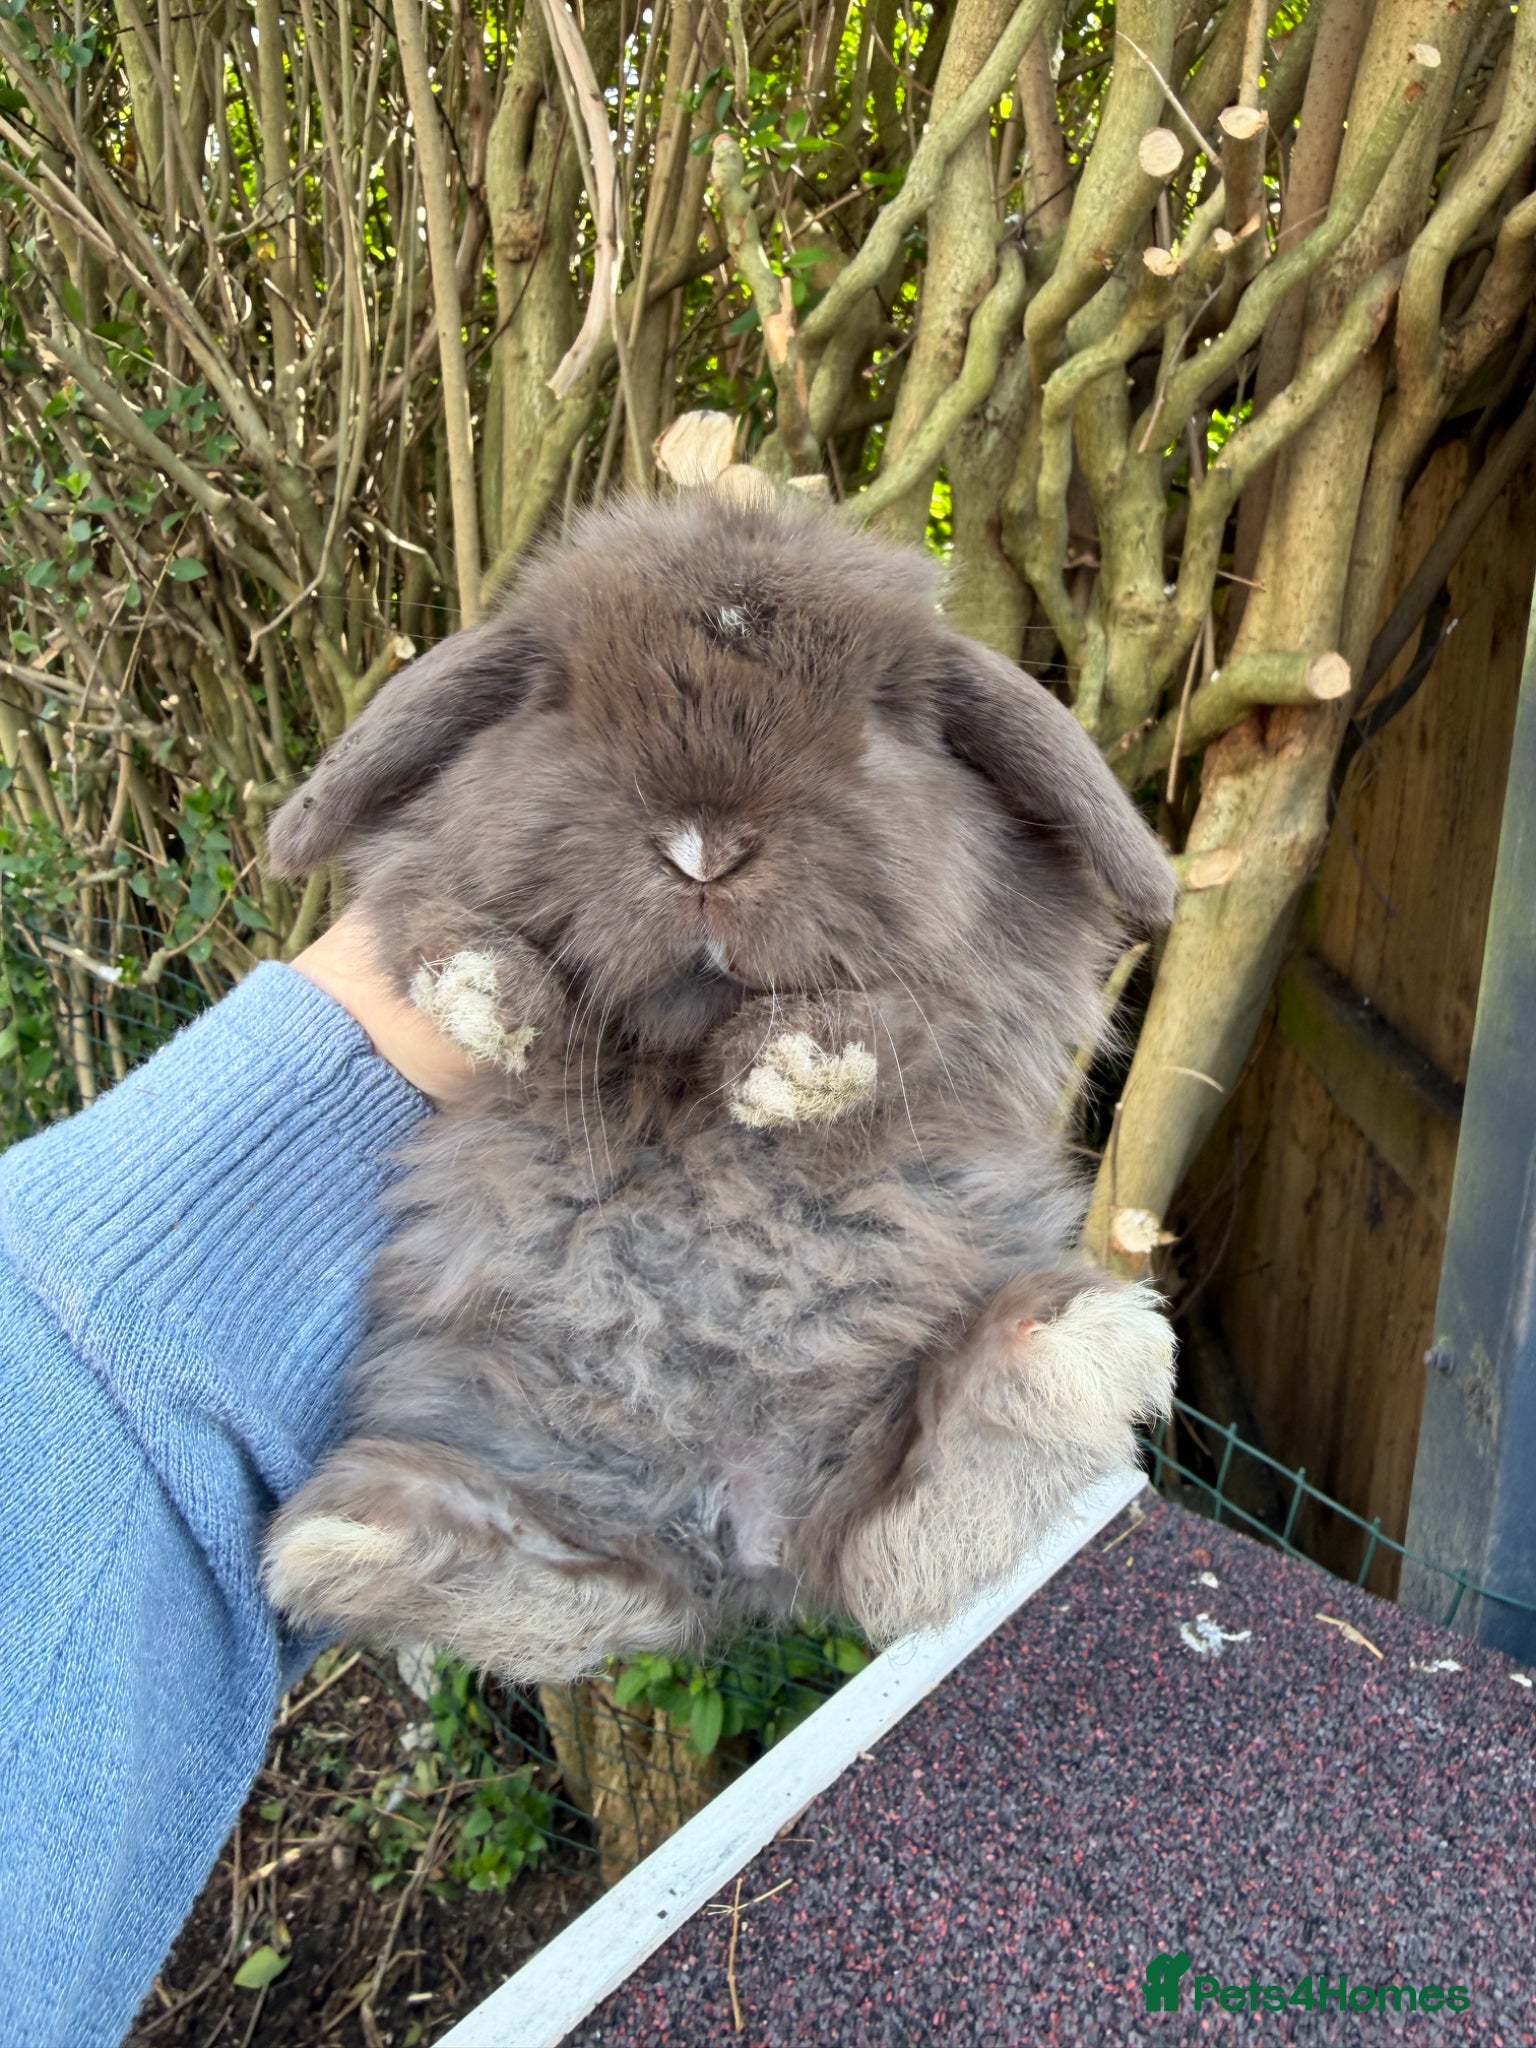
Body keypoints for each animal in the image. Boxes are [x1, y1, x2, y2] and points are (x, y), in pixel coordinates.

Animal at [261, 490, 1178, 1683]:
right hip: (503, 1432)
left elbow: (912, 1012)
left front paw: (794, 1069)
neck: (679, 1065)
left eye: (887, 718)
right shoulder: (415, 888)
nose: (703, 850)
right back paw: (372, 1543)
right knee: (622, 1596)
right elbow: (433, 920)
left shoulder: (987, 989)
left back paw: (1054, 1354)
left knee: (892, 1548)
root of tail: (736, 1528)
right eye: (557, 699)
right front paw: (484, 993)